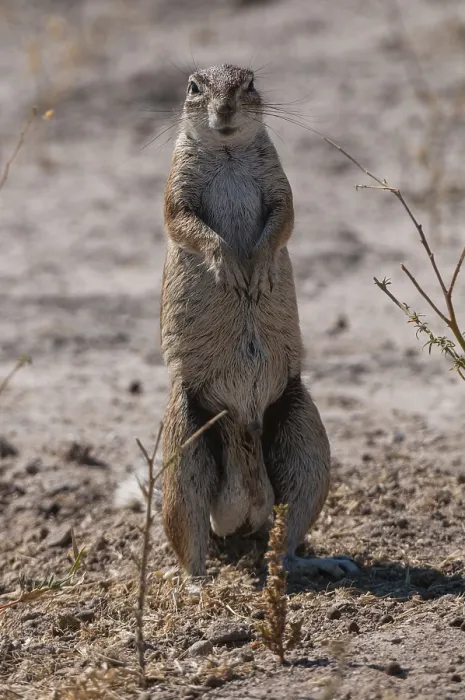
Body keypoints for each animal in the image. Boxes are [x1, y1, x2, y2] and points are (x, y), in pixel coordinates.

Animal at [133, 64, 358, 581]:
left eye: (250, 83)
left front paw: (257, 269)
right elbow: (184, 221)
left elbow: (283, 218)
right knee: (189, 538)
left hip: (306, 444)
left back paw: (319, 563)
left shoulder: (279, 184)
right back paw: (195, 583)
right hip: (186, 449)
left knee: (286, 540)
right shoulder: (177, 188)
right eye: (193, 86)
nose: (225, 109)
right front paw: (230, 267)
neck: (228, 150)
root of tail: (244, 508)